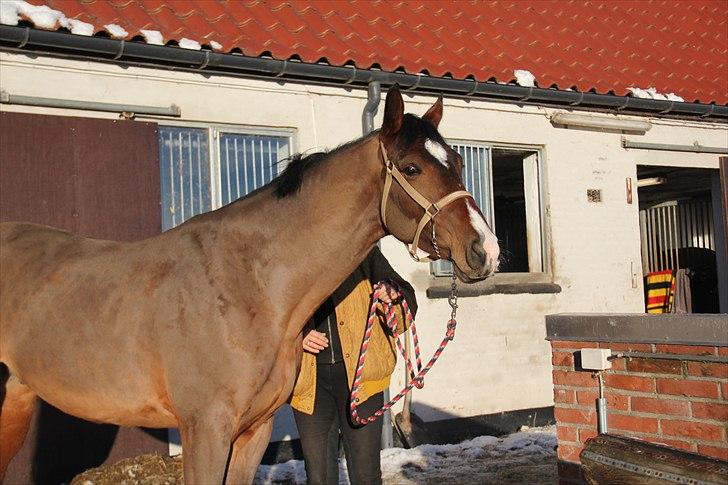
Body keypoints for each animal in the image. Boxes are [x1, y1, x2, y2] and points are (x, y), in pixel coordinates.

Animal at [0, 85, 498, 482]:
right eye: (412, 168)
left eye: (457, 161)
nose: (485, 249)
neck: (251, 286)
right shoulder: (205, 430)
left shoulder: (254, 433)